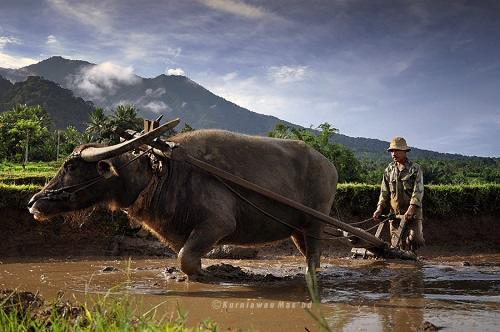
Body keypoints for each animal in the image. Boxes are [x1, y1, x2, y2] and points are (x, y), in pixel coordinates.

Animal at [28, 125, 340, 280]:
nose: (33, 202)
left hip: (315, 220)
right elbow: (185, 256)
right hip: (296, 228)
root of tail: (329, 166)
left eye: (70, 166)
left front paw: (209, 275)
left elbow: (186, 259)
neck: (161, 171)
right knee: (309, 251)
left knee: (314, 252)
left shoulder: (219, 224)